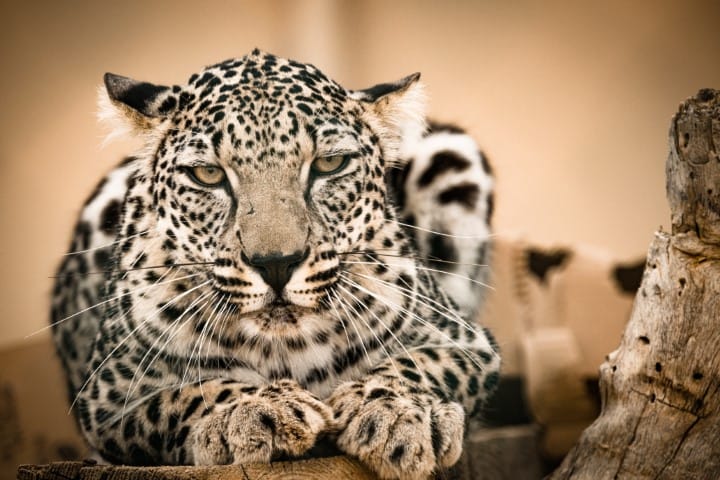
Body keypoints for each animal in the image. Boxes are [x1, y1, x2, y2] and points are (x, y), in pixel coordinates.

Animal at [50, 49, 499, 480]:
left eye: (330, 165)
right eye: (207, 174)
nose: (277, 264)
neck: (285, 350)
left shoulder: (467, 340)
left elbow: (421, 365)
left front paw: (396, 413)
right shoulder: (107, 395)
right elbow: (183, 395)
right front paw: (255, 411)